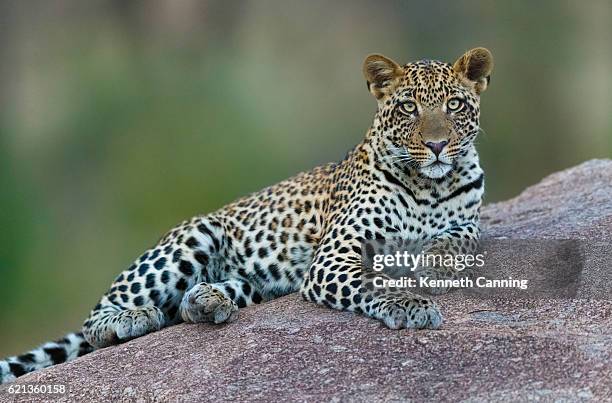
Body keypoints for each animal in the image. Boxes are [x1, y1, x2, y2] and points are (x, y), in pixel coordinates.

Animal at [1, 47, 492, 386]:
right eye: (409, 107)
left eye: (453, 105)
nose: (437, 145)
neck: (429, 186)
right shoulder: (334, 256)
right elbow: (374, 281)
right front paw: (411, 304)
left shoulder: (468, 214)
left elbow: (463, 236)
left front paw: (435, 259)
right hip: (194, 236)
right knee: (99, 317)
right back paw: (134, 317)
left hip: (253, 282)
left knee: (193, 304)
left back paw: (207, 301)